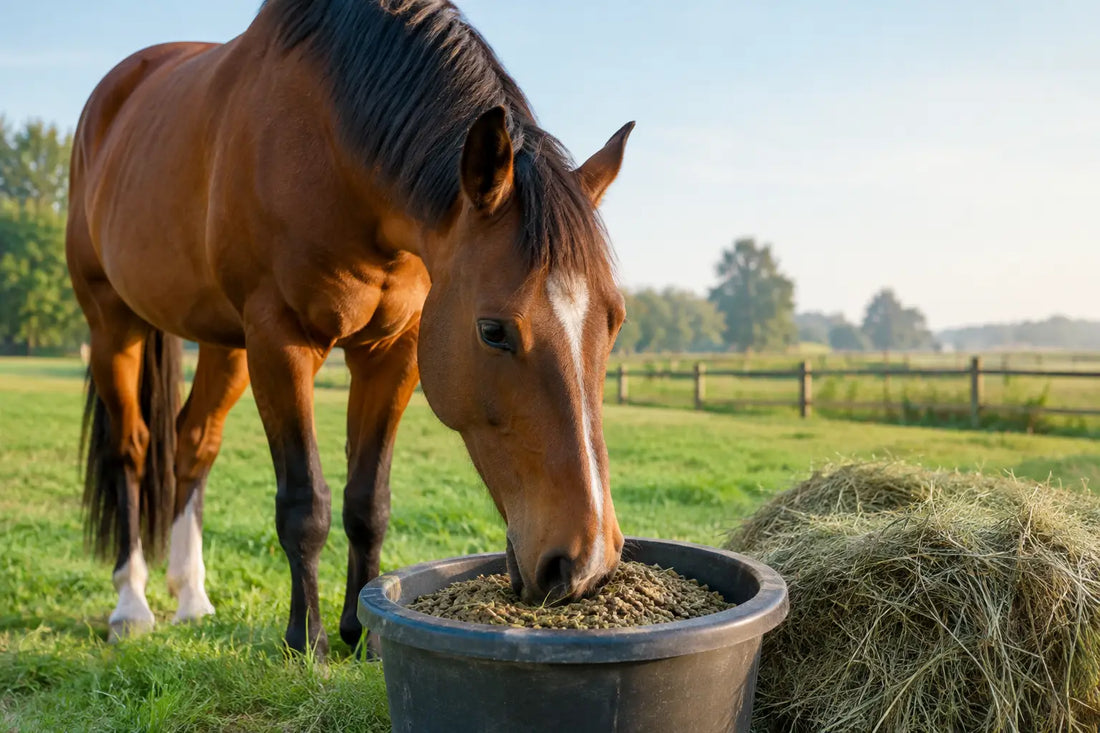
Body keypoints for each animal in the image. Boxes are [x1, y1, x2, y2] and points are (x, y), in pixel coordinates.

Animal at [66, 0, 632, 658]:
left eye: (614, 321)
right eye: (493, 331)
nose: (586, 564)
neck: (333, 150)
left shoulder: (393, 353)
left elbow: (368, 502)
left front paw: (363, 634)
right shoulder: (279, 341)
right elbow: (304, 502)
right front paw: (305, 639)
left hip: (221, 343)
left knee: (193, 443)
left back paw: (191, 597)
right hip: (113, 324)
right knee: (131, 451)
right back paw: (130, 605)